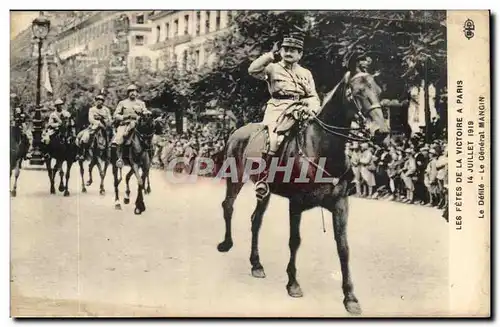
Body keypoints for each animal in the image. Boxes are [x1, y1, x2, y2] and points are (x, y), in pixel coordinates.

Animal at [217, 70, 388, 316]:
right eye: (356, 93)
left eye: (378, 91)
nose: (381, 132)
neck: (323, 148)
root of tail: (238, 131)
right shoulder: (296, 203)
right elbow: (295, 241)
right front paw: (293, 284)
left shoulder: (340, 205)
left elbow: (343, 248)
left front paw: (350, 297)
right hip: (235, 177)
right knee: (228, 206)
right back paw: (227, 243)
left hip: (264, 191)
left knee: (255, 220)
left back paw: (256, 264)